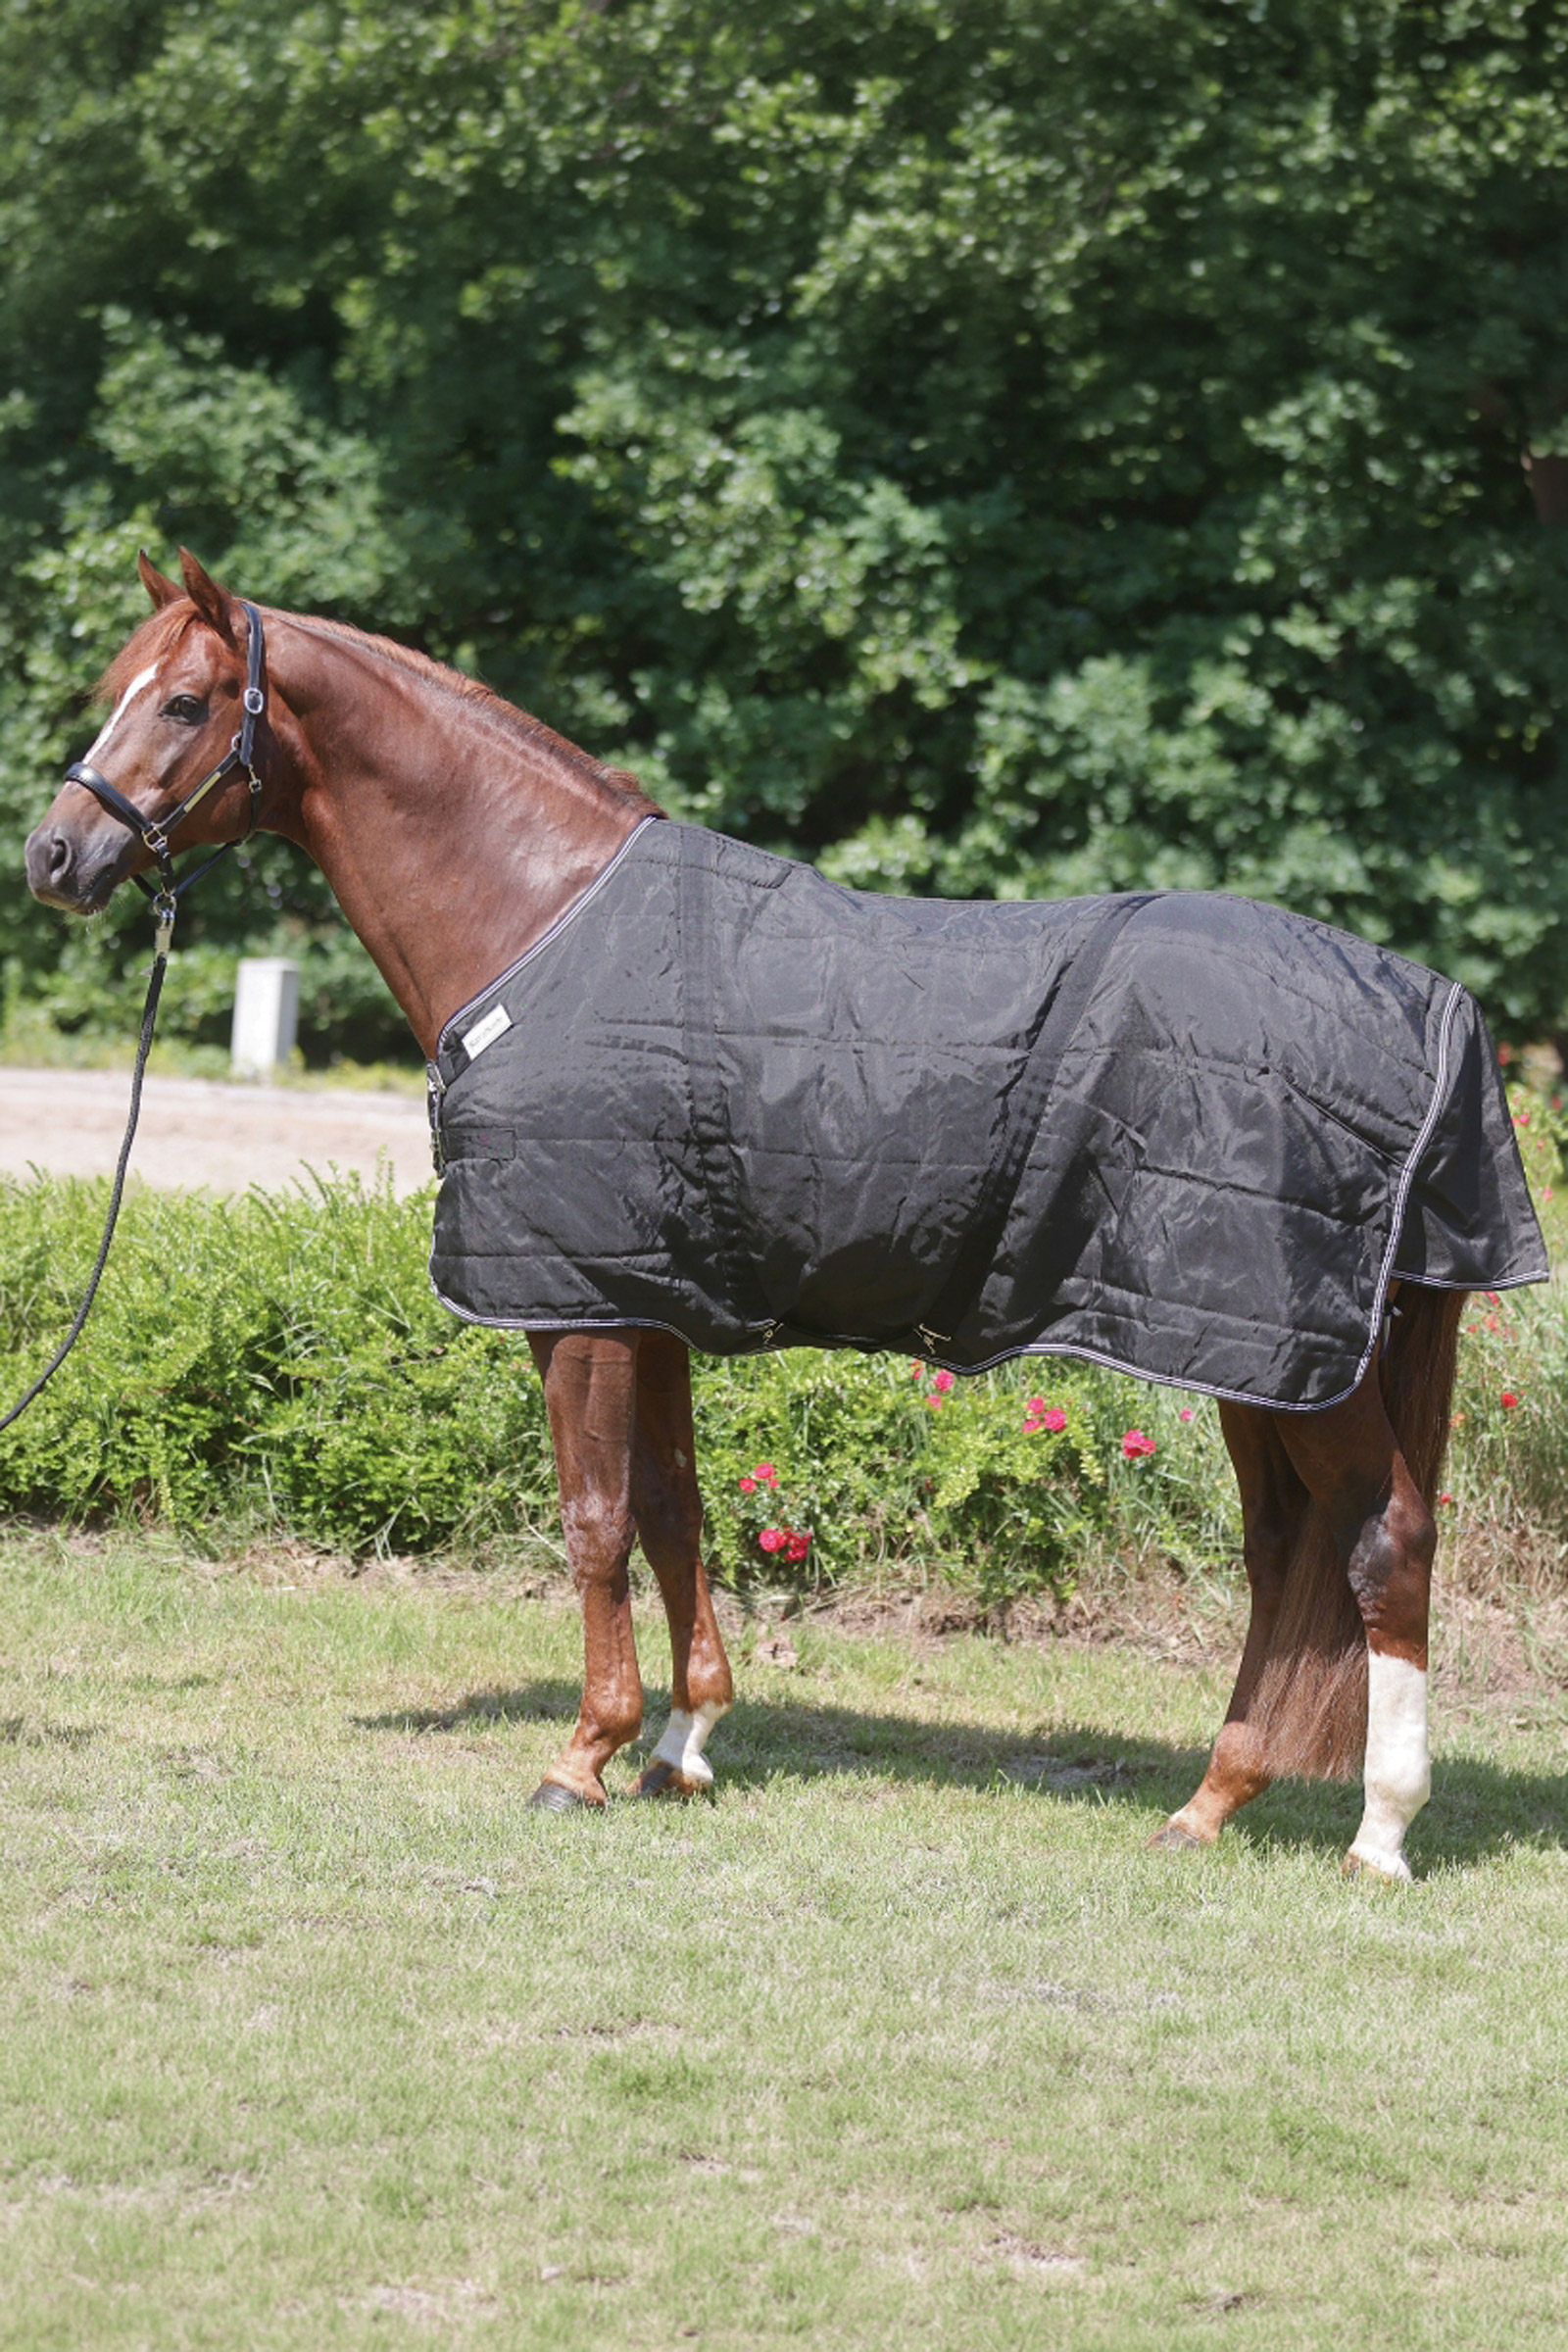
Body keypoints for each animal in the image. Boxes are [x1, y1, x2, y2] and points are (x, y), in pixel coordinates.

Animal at [23, 549, 1546, 1881]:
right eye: (115, 682)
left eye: (183, 701)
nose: (54, 853)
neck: (539, 923)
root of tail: (1430, 1008)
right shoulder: (650, 1298)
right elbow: (673, 1507)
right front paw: (683, 1743)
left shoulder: (575, 1304)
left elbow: (591, 1518)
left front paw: (581, 1757)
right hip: (1254, 1357)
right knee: (1288, 1552)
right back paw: (1213, 1801)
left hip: (1279, 1352)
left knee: (1382, 1540)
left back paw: (1380, 1833)